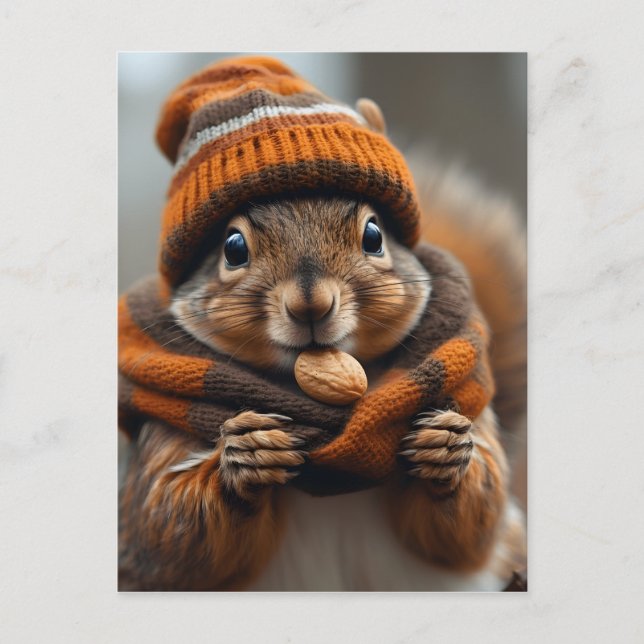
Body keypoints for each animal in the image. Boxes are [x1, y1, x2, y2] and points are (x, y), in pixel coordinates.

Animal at [118, 61, 526, 591]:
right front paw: (244, 458)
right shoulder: (160, 441)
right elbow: (167, 526)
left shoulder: (473, 411)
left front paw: (446, 450)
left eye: (374, 235)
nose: (310, 304)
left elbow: (468, 527)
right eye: (232, 247)